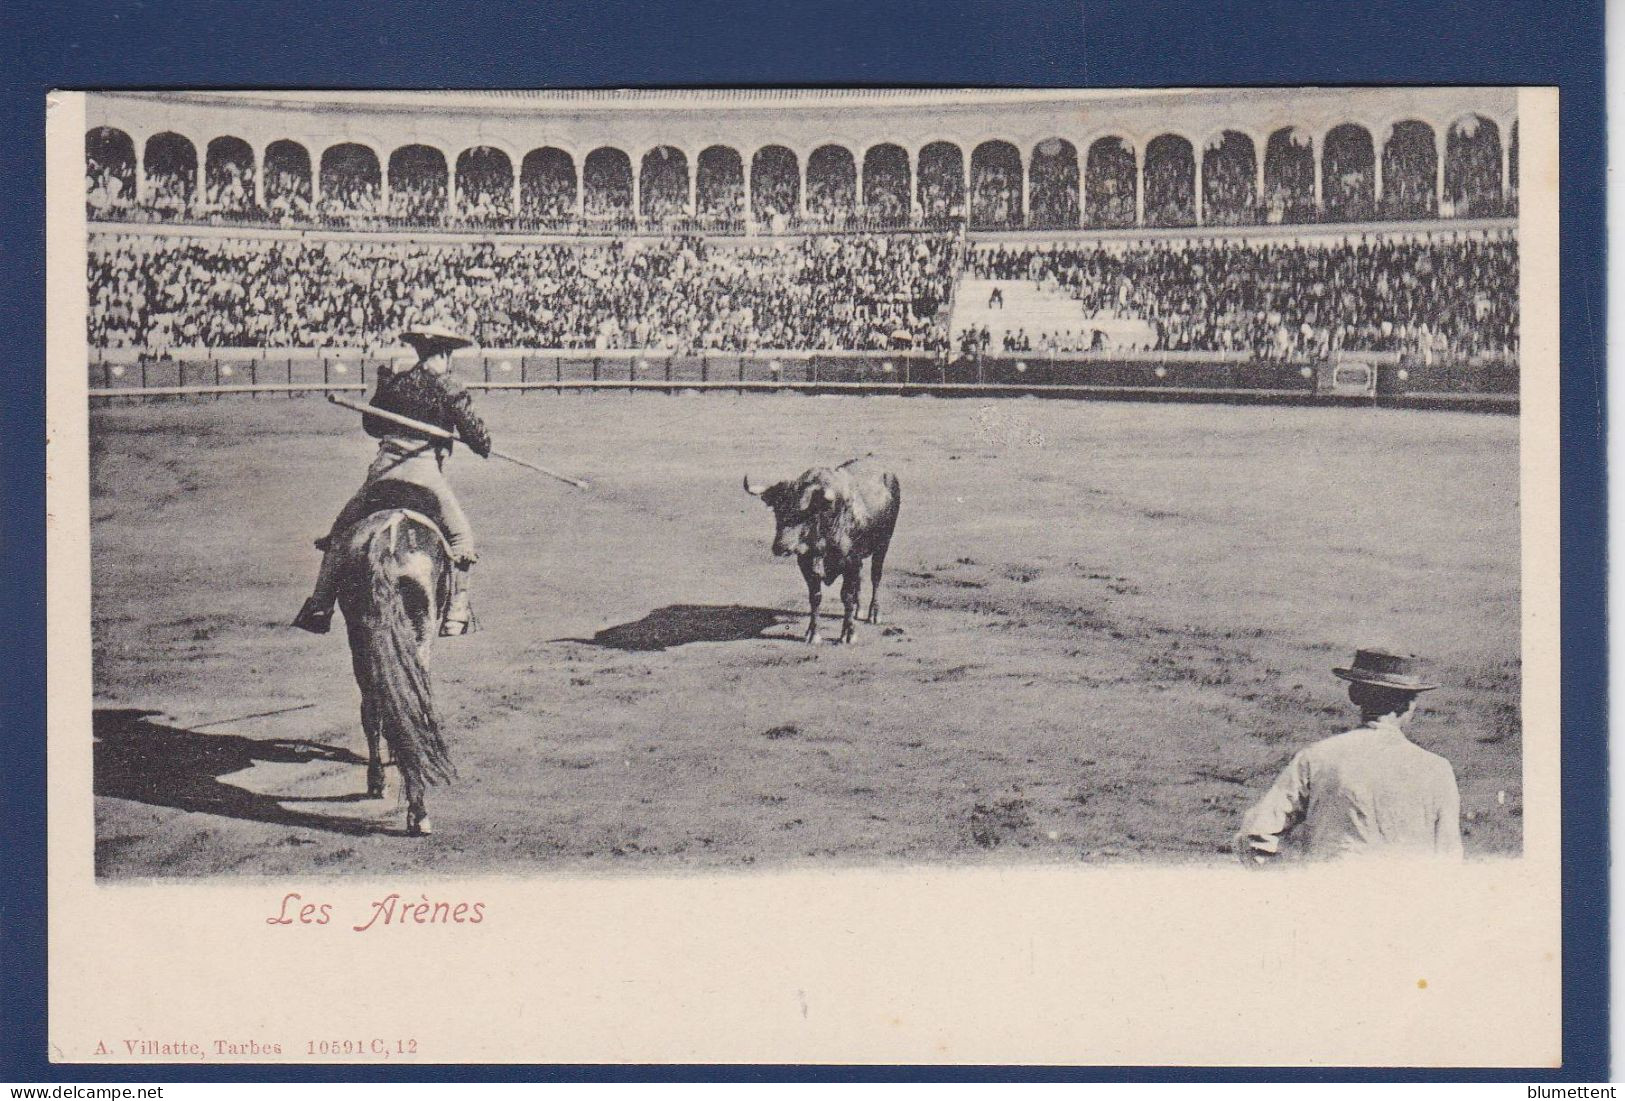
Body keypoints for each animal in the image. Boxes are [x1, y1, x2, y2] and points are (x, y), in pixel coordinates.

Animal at [331, 506, 455, 837]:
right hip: (419, 631)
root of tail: (383, 544)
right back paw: (417, 811)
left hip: (360, 636)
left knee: (374, 707)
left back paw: (383, 785)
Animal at [741, 457, 897, 646]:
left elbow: (847, 596)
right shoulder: (806, 564)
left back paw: (874, 614)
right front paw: (812, 633)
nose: (780, 547)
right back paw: (859, 610)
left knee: (876, 576)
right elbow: (815, 597)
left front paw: (849, 633)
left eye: (804, 512)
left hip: (884, 543)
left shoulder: (851, 562)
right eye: (777, 511)